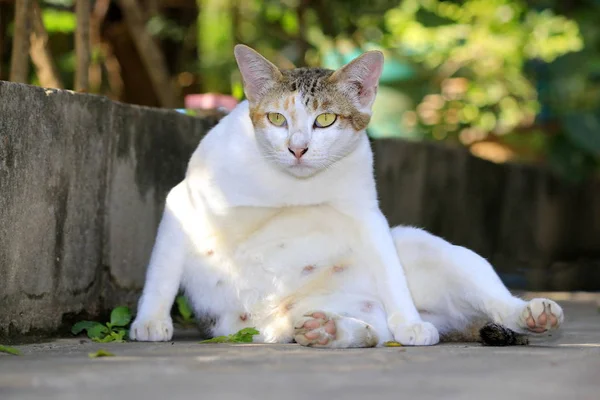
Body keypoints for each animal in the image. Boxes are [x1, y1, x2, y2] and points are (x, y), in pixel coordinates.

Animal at [129, 43, 564, 346]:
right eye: (276, 118)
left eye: (325, 119)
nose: (298, 149)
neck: (291, 185)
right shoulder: (184, 199)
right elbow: (162, 272)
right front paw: (150, 320)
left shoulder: (367, 216)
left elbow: (390, 271)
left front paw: (409, 321)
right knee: (371, 333)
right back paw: (330, 330)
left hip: (426, 246)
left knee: (488, 298)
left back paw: (530, 314)